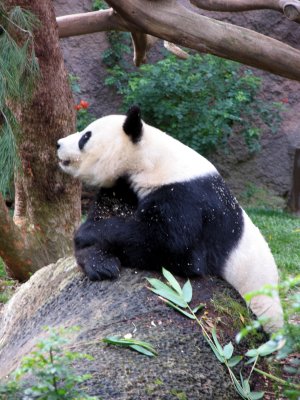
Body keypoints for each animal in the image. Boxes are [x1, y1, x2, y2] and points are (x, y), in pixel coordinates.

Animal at [56, 104, 284, 332]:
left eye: (85, 136)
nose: (58, 143)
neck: (150, 161)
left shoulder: (188, 198)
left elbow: (170, 245)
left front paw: (87, 235)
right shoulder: (123, 187)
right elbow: (105, 214)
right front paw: (101, 264)